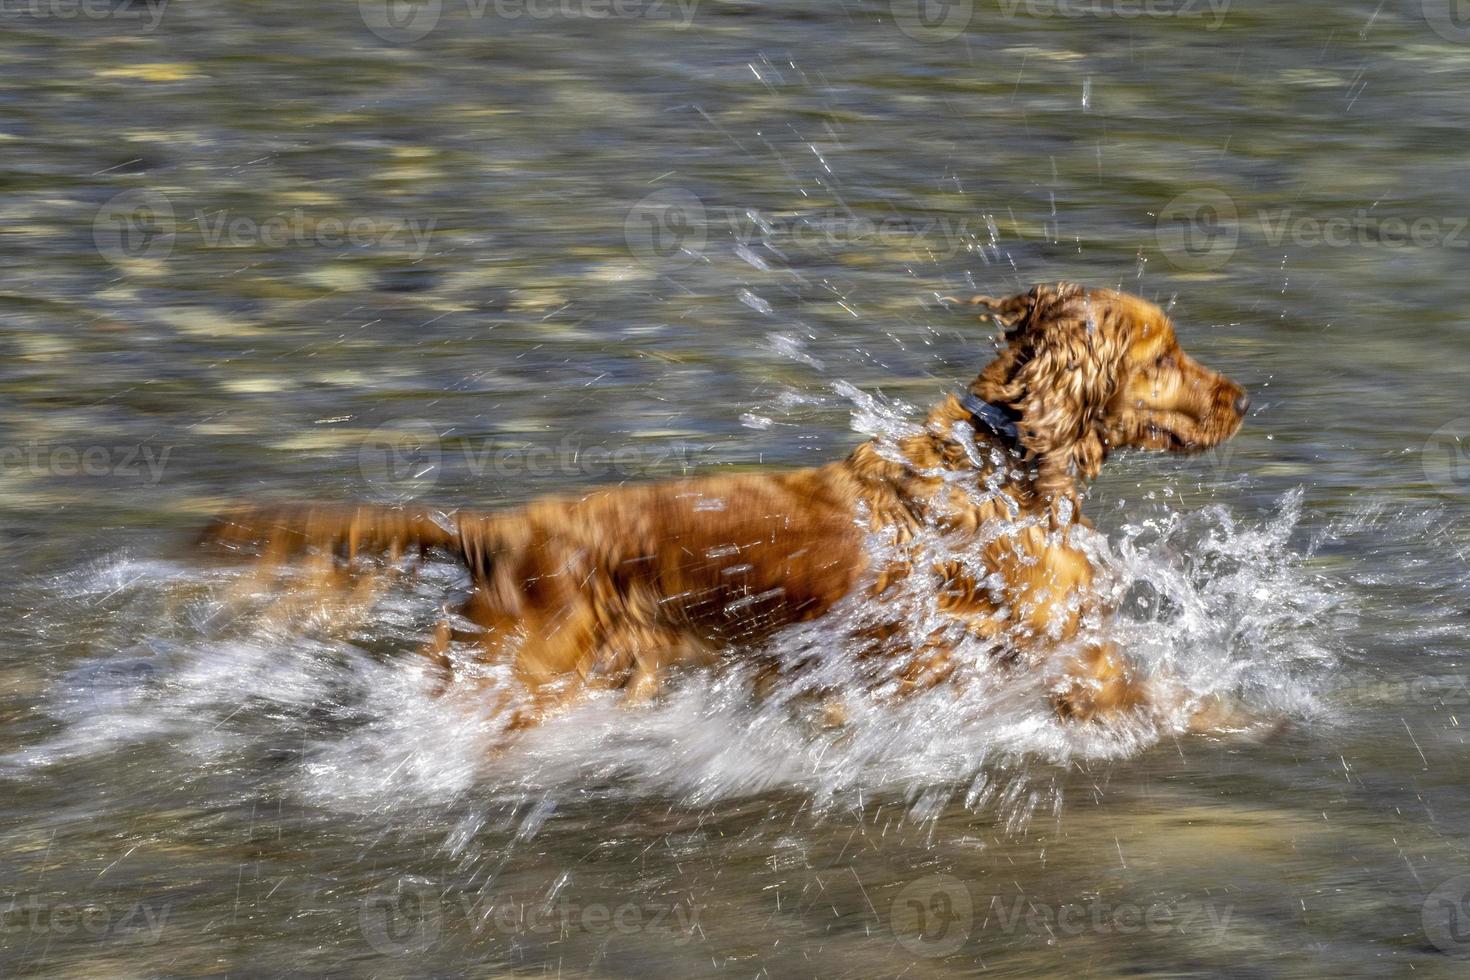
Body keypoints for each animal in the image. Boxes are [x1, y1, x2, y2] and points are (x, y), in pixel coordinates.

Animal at [207, 282, 1246, 728]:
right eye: (1162, 358)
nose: (1245, 396)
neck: (1000, 459)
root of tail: (490, 531)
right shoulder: (1064, 646)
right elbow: (1159, 695)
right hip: (523, 672)